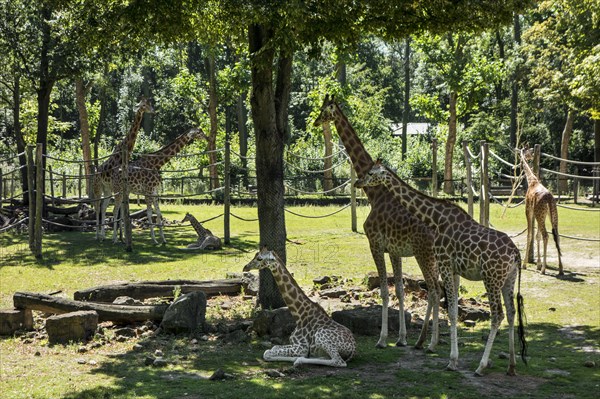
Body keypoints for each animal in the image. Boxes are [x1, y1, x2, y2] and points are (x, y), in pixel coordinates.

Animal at [92, 97, 155, 241]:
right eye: (143, 105)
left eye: (150, 104)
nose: (153, 110)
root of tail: (96, 171)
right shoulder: (119, 187)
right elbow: (118, 211)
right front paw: (116, 237)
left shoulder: (122, 188)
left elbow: (122, 212)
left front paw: (123, 237)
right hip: (98, 187)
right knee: (97, 207)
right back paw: (98, 235)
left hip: (107, 189)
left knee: (103, 207)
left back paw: (103, 235)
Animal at [314, 96, 440, 354]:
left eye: (324, 110)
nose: (314, 122)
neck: (375, 194)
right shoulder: (395, 250)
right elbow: (399, 289)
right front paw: (401, 338)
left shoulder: (375, 244)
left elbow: (383, 291)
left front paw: (382, 339)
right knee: (441, 290)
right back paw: (429, 340)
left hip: (424, 255)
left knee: (434, 291)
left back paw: (429, 342)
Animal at [354, 161, 528, 376]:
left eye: (371, 172)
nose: (358, 182)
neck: (435, 219)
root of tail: (516, 254)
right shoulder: (453, 269)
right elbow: (451, 307)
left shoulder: (444, 263)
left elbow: (451, 310)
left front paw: (452, 361)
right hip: (508, 279)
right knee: (512, 312)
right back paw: (511, 366)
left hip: (491, 278)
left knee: (498, 315)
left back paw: (481, 366)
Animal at [520, 146, 564, 276]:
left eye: (526, 151)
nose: (528, 157)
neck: (532, 181)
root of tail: (549, 199)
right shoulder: (537, 214)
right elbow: (537, 235)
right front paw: (538, 264)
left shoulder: (528, 211)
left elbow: (530, 235)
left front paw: (525, 264)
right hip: (552, 215)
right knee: (556, 235)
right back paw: (560, 269)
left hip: (540, 215)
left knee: (546, 235)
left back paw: (544, 270)